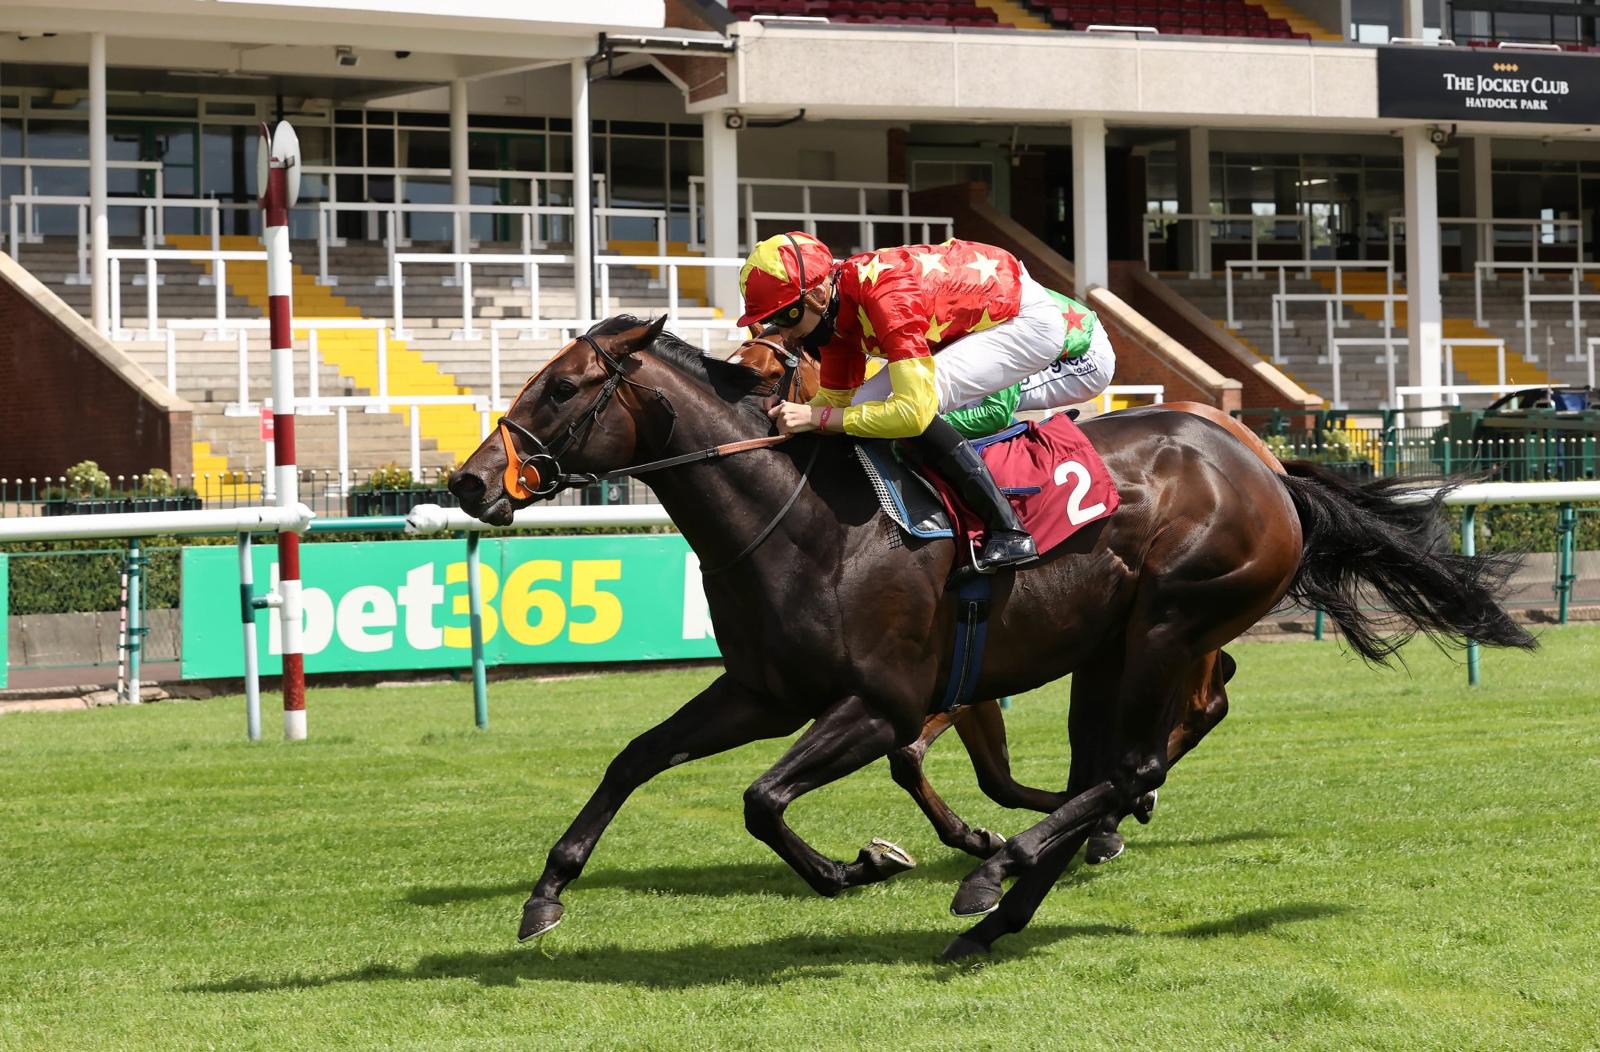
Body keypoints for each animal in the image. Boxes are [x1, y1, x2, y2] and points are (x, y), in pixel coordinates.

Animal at [444, 313, 1529, 959]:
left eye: (561, 387)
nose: (466, 480)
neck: (801, 518)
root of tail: (1266, 468)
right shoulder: (763, 692)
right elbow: (636, 758)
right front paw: (547, 892)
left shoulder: (880, 703)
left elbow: (763, 797)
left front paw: (859, 866)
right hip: (1110, 648)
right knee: (1117, 759)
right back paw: (1007, 903)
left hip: (1169, 623)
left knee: (1136, 760)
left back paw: (1000, 872)